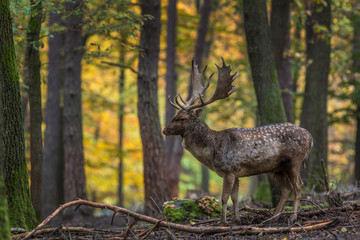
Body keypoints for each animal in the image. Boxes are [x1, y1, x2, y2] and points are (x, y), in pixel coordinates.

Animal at [163, 58, 312, 225]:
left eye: (182, 118)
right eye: (175, 115)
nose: (165, 130)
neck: (211, 150)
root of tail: (310, 137)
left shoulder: (228, 170)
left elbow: (224, 197)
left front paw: (223, 221)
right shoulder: (236, 173)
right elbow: (235, 197)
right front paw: (237, 219)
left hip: (294, 160)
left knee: (298, 186)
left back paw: (292, 217)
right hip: (278, 168)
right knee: (286, 189)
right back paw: (272, 218)